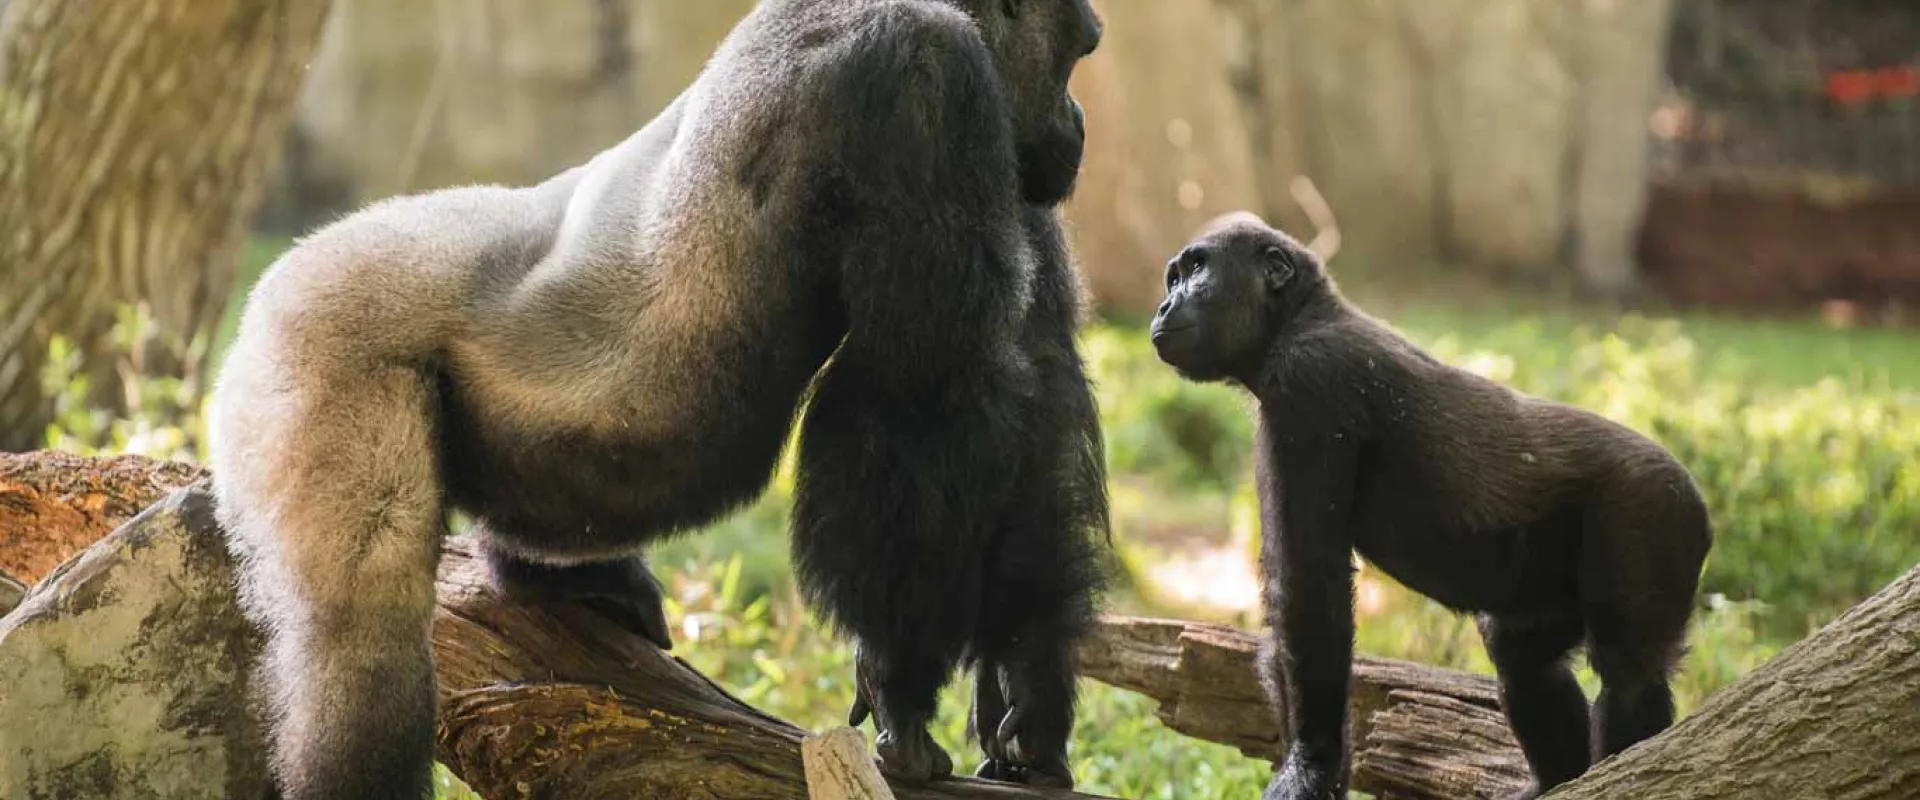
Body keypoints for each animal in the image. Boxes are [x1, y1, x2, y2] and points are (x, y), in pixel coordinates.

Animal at [207, 2, 1110, 798]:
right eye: (1078, 50)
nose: (1077, 123)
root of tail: (276, 278)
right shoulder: (922, 74)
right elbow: (924, 397)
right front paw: (902, 689)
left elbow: (1036, 398)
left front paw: (1032, 692)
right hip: (312, 344)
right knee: (362, 642)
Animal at [1148, 213, 1713, 800]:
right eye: (1174, 277)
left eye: (1197, 269)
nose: (1163, 307)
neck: (1302, 314)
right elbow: (1290, 611)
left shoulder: (1307, 379)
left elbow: (1308, 587)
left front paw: (1311, 762)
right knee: (1524, 656)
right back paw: (1554, 778)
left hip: (1654, 507)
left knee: (1629, 674)